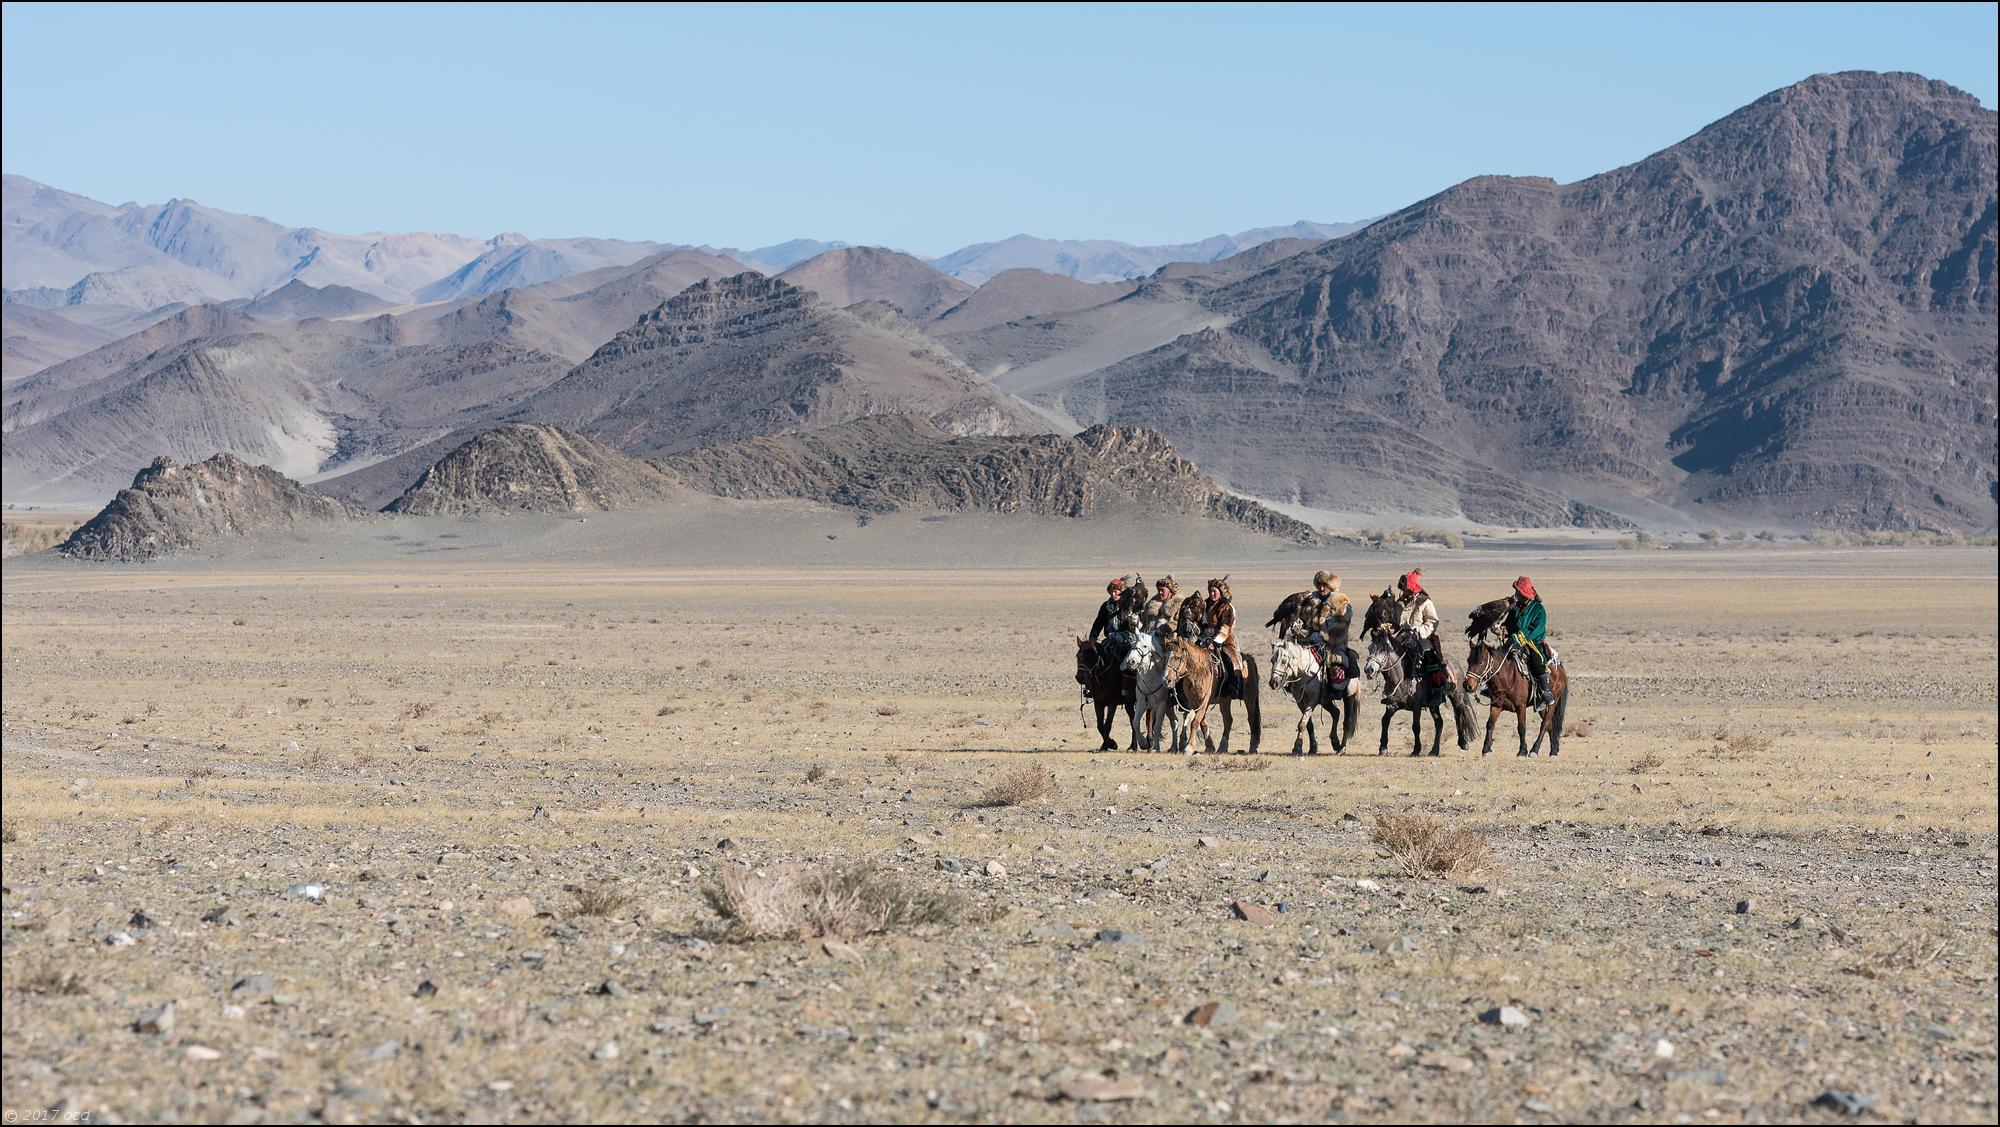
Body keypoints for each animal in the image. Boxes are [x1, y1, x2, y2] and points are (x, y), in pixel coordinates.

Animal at [1352, 595, 1480, 751]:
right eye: (1370, 648)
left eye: (1383, 650)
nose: (1369, 669)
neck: (1400, 677)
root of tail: (1456, 664)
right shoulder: (1392, 705)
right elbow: (1384, 721)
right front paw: (1383, 747)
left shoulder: (1417, 706)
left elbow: (1416, 727)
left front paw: (1416, 749)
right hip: (1434, 704)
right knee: (1439, 723)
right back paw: (1434, 750)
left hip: (1457, 695)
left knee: (1458, 714)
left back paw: (1463, 742)